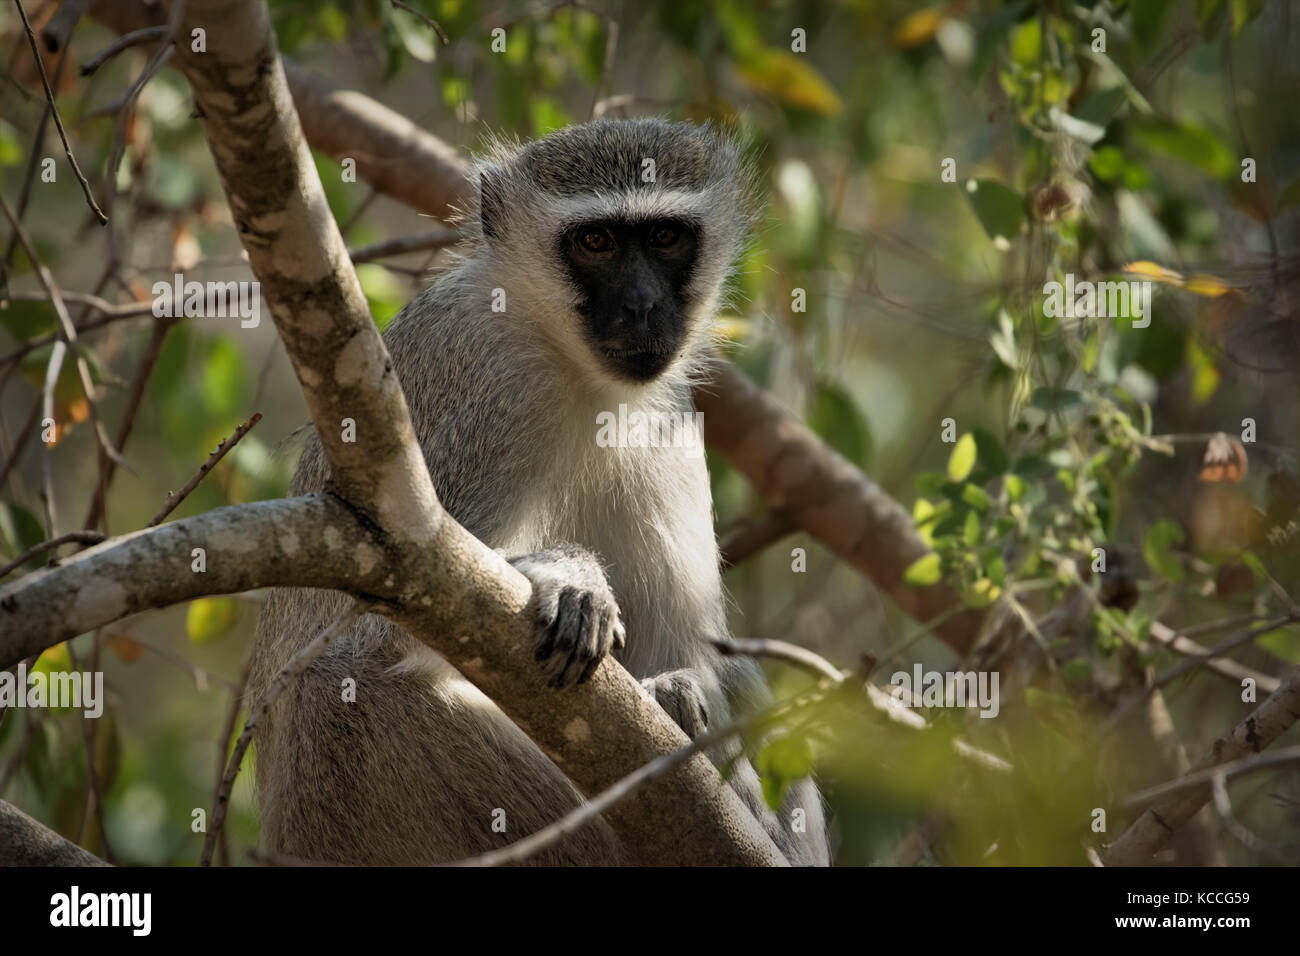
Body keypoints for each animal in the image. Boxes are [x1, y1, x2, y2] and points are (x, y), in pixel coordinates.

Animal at [248, 115, 826, 863]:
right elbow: (387, 619)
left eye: (665, 238)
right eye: (596, 242)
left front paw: (677, 693)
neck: (571, 366)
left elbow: (686, 652)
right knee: (350, 686)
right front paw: (566, 575)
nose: (642, 307)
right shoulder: (498, 395)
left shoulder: (667, 421)